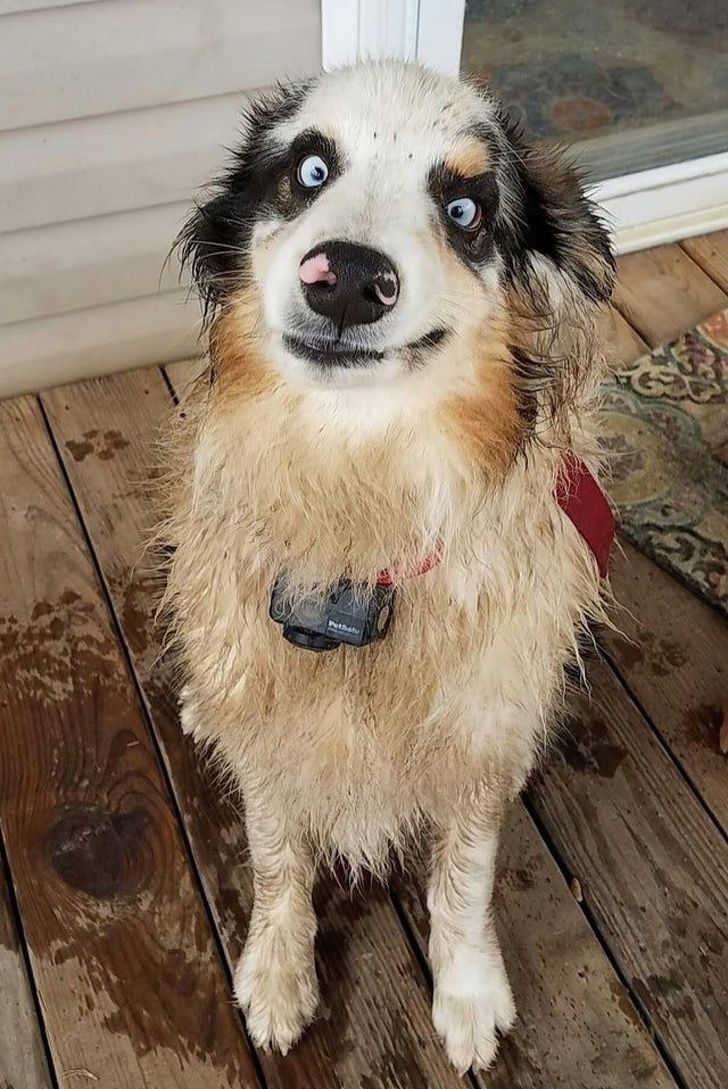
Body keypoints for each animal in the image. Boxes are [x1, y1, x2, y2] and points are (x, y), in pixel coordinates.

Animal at [163, 59, 613, 1071]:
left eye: (466, 209)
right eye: (311, 168)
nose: (347, 279)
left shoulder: (478, 735)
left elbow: (465, 878)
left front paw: (469, 993)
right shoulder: (271, 717)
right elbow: (276, 851)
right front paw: (278, 972)